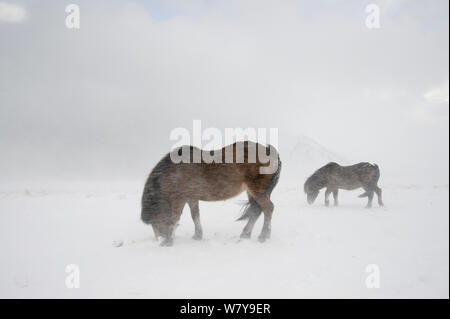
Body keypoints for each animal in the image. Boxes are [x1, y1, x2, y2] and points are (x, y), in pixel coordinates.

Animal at [141, 142, 282, 248]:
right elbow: (195, 215)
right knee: (256, 211)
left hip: (257, 190)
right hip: (252, 192)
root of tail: (269, 151)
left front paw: (168, 242)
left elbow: (174, 218)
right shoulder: (191, 197)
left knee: (268, 209)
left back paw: (263, 236)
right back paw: (245, 234)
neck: (175, 172)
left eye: (154, 222)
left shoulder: (180, 198)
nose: (161, 237)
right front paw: (197, 235)